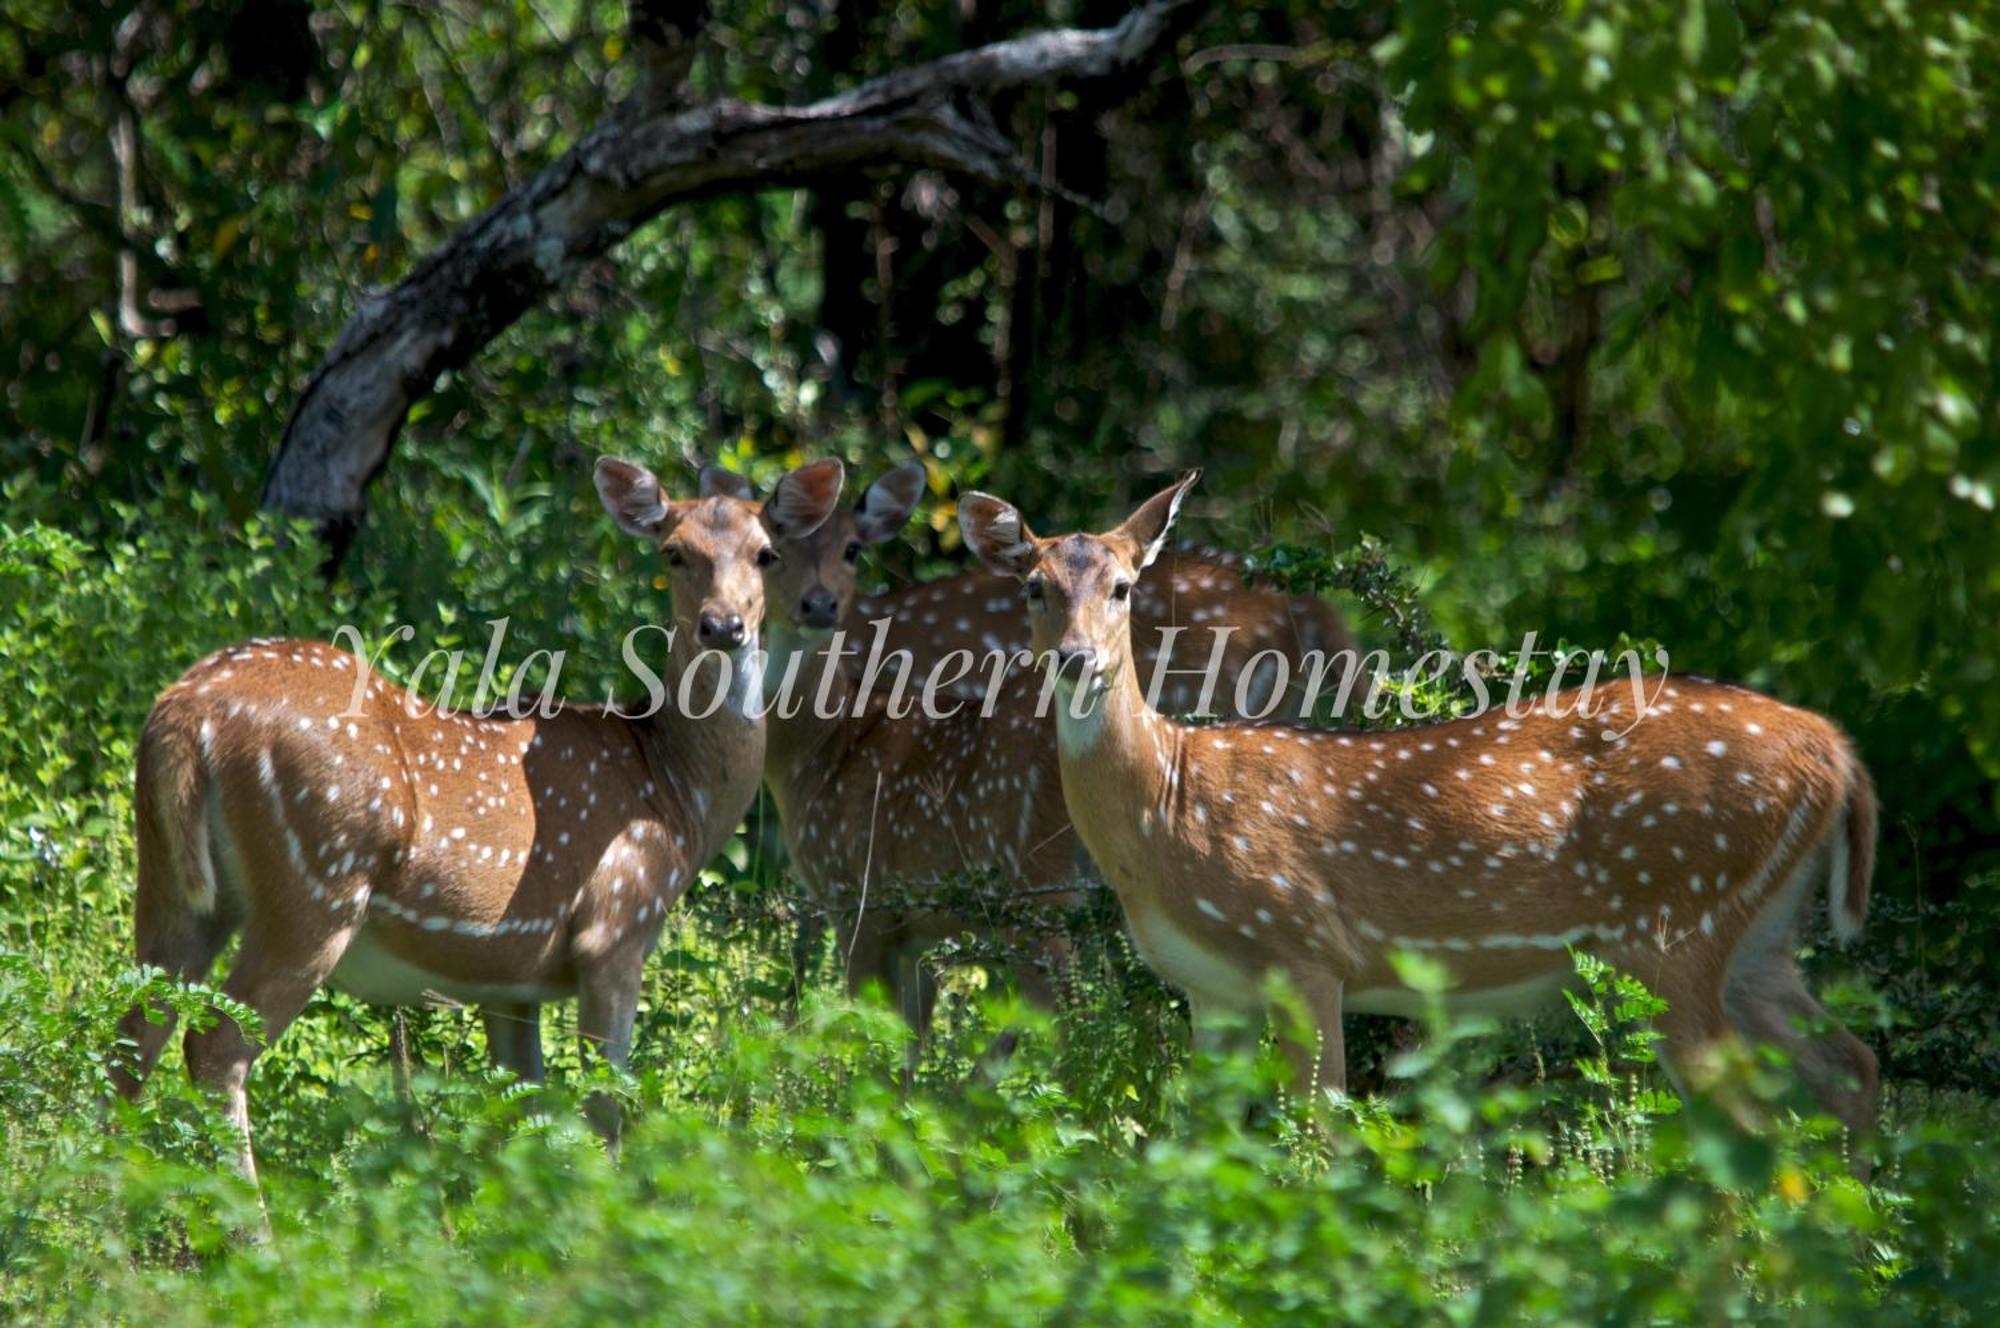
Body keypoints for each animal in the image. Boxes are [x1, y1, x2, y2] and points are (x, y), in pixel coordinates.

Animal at [111, 454, 844, 1176]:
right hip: (315, 882)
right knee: (214, 1046)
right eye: (674, 552)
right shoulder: (616, 926)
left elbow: (522, 1109)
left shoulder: (510, 976)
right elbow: (604, 1108)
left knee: (129, 1037)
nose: (723, 626)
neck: (673, 791)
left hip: (172, 878)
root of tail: (187, 712)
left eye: (765, 553)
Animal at [960, 474, 1880, 1144]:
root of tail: (1837, 752)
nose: (1076, 659)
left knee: (1751, 1126)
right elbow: (1194, 1145)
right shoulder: (1209, 989)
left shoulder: (1303, 944)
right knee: (1851, 1067)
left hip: (1672, 923)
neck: (1167, 809)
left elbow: (1319, 1134)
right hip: (1758, 938)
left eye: (1122, 587)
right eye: (1034, 587)